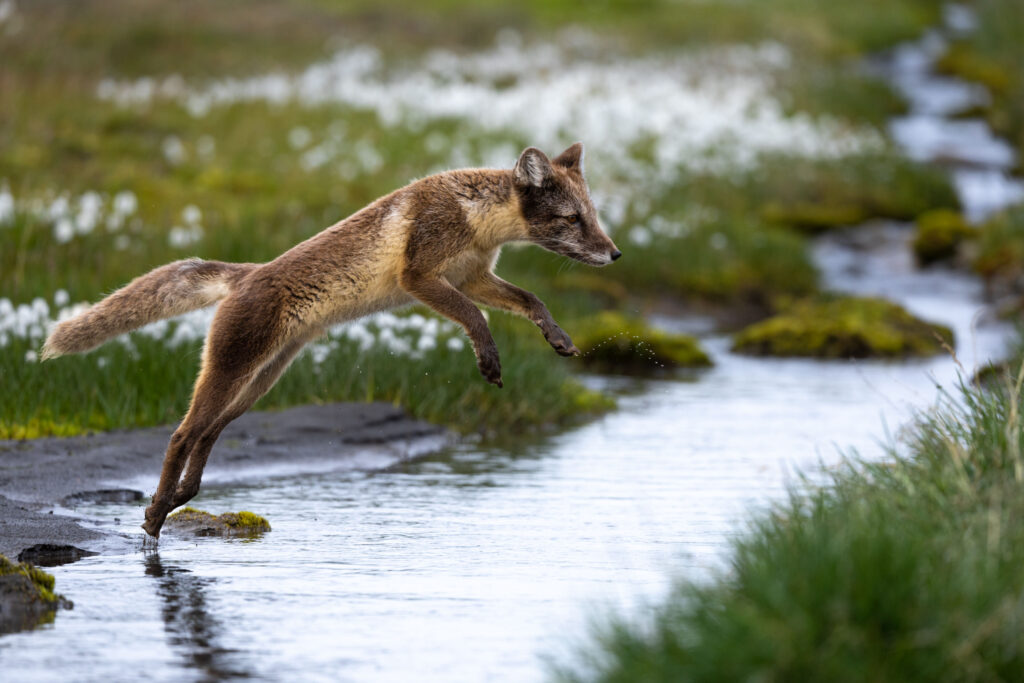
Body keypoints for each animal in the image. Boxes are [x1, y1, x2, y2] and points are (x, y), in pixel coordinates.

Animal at [39, 145, 618, 540]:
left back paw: (183, 495)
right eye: (573, 219)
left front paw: (558, 337)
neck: (475, 220)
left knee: (207, 433)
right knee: (181, 434)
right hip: (231, 371)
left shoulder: (473, 276)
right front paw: (489, 360)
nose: (614, 255)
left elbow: (532, 299)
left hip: (257, 386)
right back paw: (158, 512)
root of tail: (247, 274)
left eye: (593, 215)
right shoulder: (421, 278)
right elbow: (476, 319)